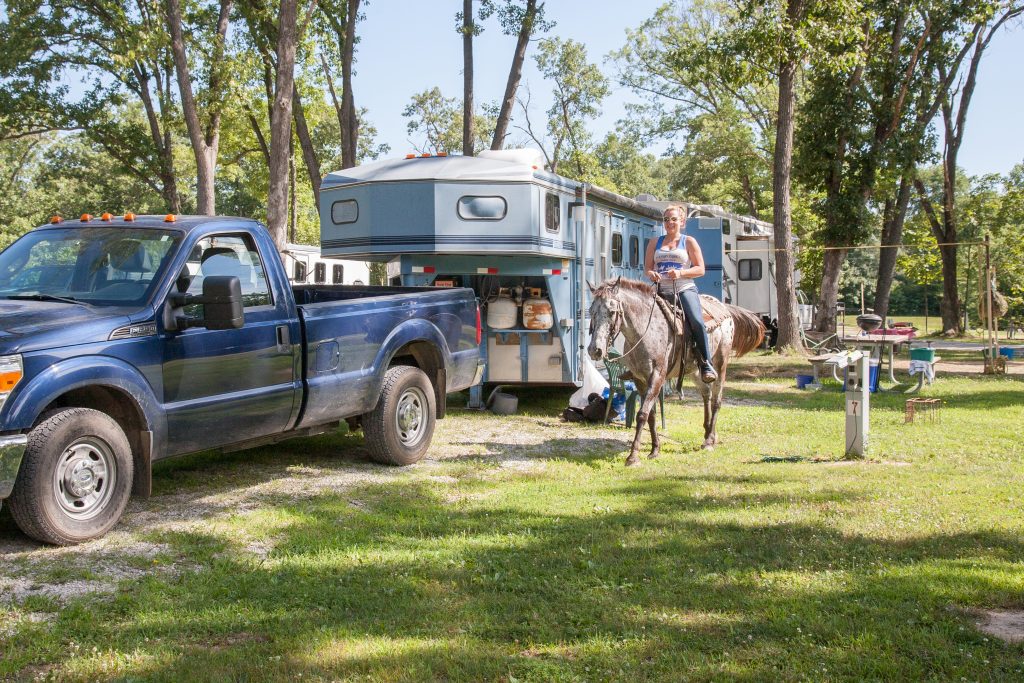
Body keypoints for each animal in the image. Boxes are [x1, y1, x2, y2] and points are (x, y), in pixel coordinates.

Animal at [589, 278, 765, 464]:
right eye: (591, 311)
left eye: (611, 312)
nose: (595, 350)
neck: (646, 331)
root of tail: (724, 308)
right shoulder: (640, 380)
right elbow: (651, 415)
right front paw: (655, 449)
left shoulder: (657, 377)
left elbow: (642, 414)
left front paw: (633, 456)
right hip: (694, 371)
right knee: (706, 393)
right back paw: (708, 433)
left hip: (721, 363)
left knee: (716, 400)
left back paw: (710, 441)